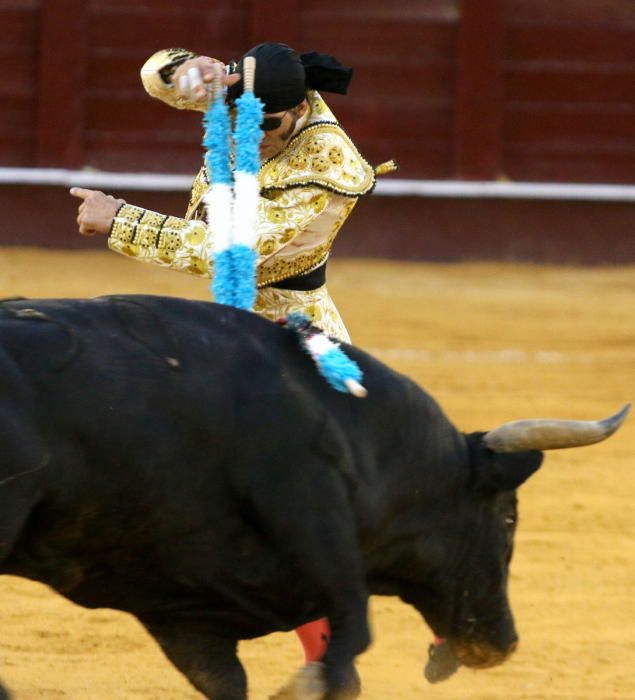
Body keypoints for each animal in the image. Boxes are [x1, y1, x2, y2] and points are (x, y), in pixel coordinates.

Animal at [0, 296, 628, 700]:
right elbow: (348, 645)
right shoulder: (316, 523)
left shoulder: (178, 602)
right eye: (508, 518)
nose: (503, 642)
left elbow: (229, 680)